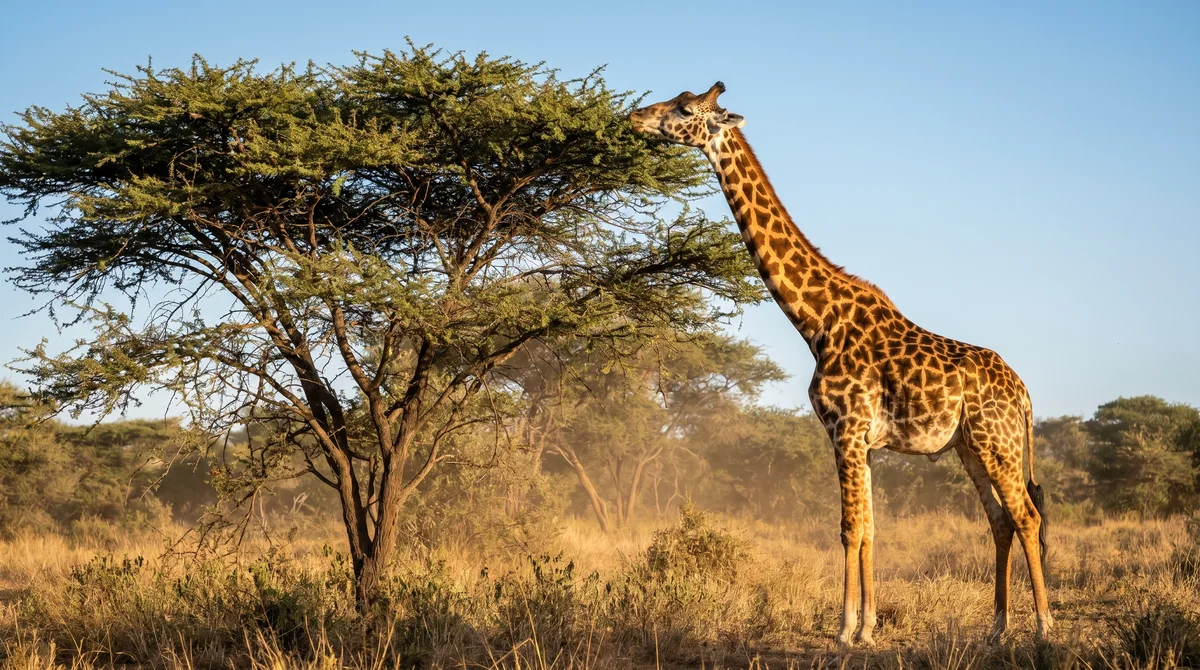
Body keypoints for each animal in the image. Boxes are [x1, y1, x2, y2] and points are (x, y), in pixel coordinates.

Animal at [630, 83, 1052, 646]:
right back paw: (998, 628)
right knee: (1001, 521)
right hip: (969, 447)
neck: (816, 321)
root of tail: (1024, 393)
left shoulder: (845, 429)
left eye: (683, 108)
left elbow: (850, 529)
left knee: (1026, 516)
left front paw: (844, 632)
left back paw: (1045, 627)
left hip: (996, 441)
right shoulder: (863, 442)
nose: (634, 118)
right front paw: (869, 628)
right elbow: (870, 529)